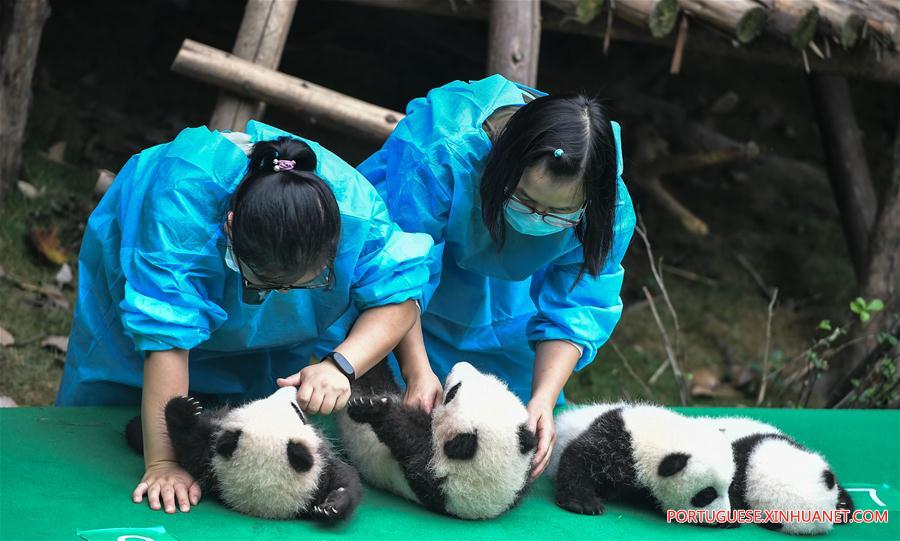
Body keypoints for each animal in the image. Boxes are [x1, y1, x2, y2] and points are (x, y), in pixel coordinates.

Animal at [125, 385, 363, 522]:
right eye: (296, 410)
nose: (292, 387)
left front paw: (333, 506)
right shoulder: (210, 458)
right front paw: (184, 408)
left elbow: (347, 480)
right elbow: (189, 442)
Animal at [548, 403, 735, 522]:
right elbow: (578, 457)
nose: (724, 517)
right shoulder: (614, 441)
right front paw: (584, 503)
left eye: (729, 488)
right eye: (706, 495)